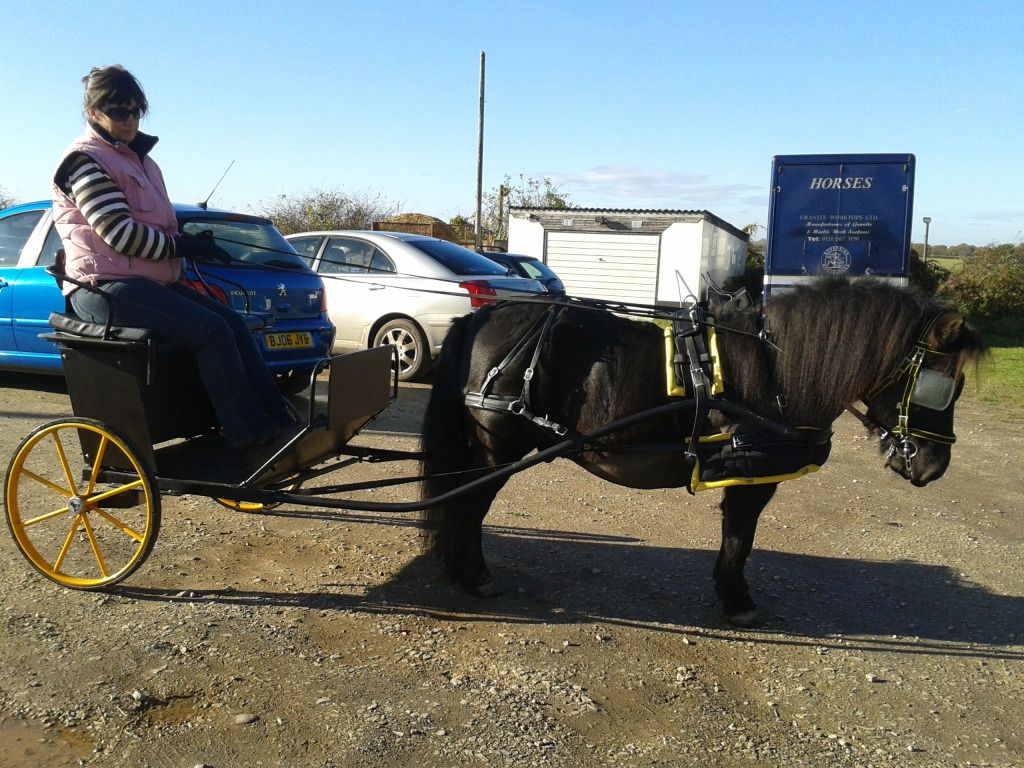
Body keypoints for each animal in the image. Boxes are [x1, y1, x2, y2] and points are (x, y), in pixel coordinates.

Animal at [419, 277, 988, 626]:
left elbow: (736, 540)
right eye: (943, 385)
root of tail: (484, 317)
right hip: (498, 451)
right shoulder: (751, 478)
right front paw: (737, 602)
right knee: (467, 507)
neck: (774, 374)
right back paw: (474, 576)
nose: (934, 467)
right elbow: (740, 540)